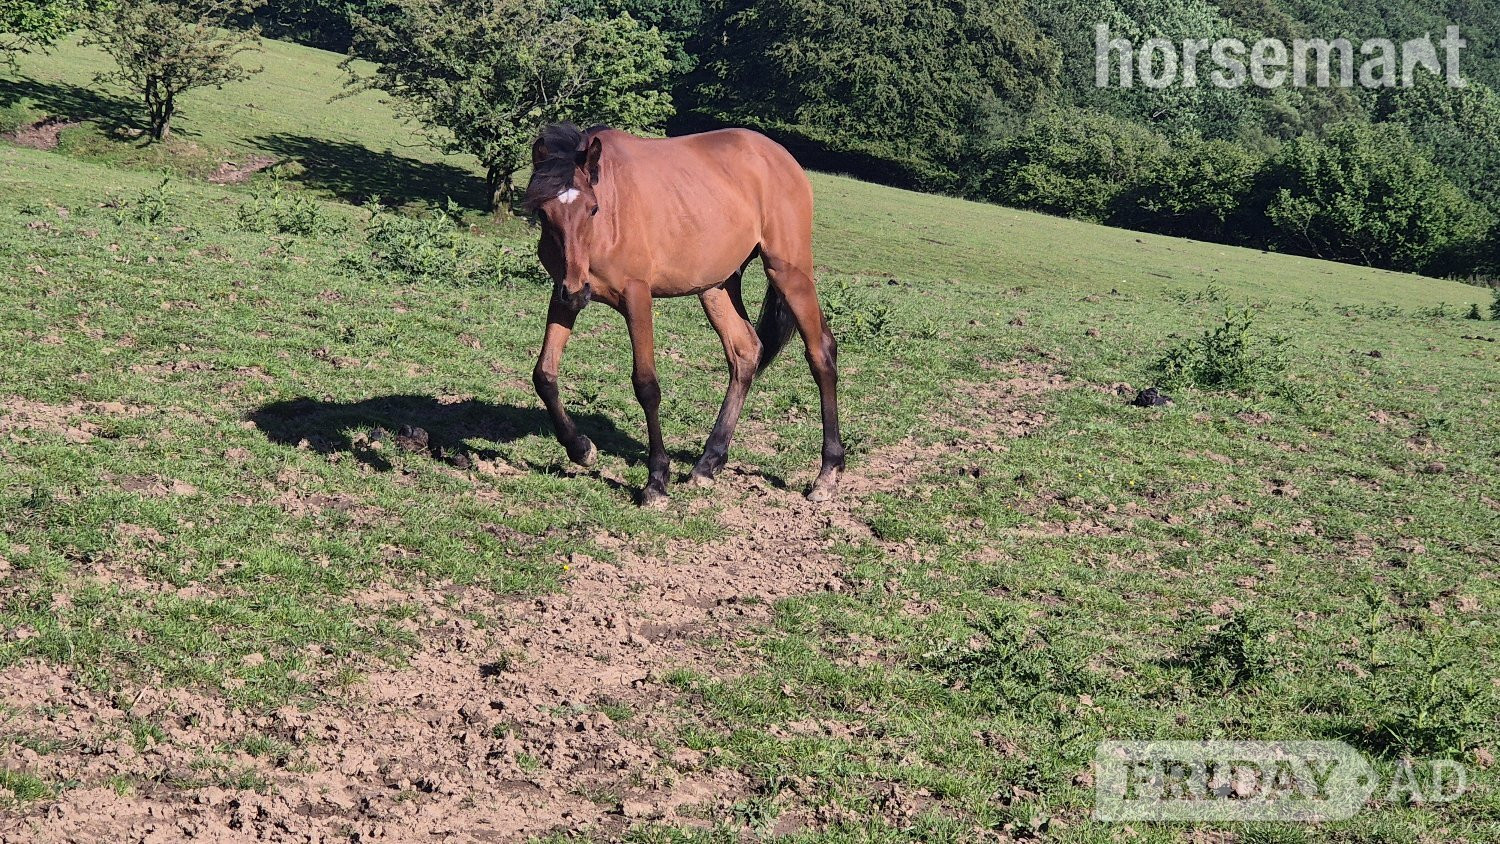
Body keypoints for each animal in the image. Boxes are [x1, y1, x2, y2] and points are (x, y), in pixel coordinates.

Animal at [523, 123, 844, 507]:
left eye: (593, 209)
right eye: (544, 213)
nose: (575, 290)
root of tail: (783, 158)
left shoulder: (636, 297)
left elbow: (646, 386)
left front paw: (656, 481)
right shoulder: (563, 296)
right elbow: (544, 375)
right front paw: (581, 448)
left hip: (788, 273)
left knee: (820, 352)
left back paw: (827, 473)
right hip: (717, 287)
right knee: (745, 352)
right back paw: (708, 463)